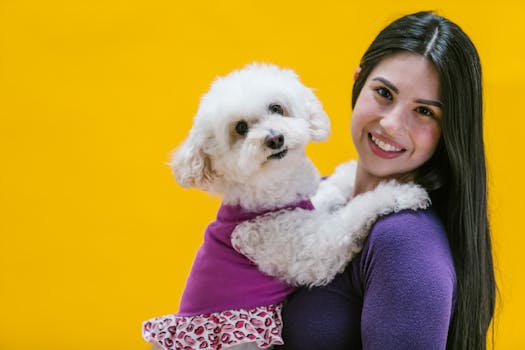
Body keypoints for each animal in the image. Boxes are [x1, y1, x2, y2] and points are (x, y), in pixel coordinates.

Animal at [142, 63, 426, 350]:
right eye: (240, 128)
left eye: (276, 108)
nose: (274, 139)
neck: (275, 189)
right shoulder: (302, 246)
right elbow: (351, 215)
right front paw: (401, 192)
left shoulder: (304, 203)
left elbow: (328, 193)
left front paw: (346, 174)